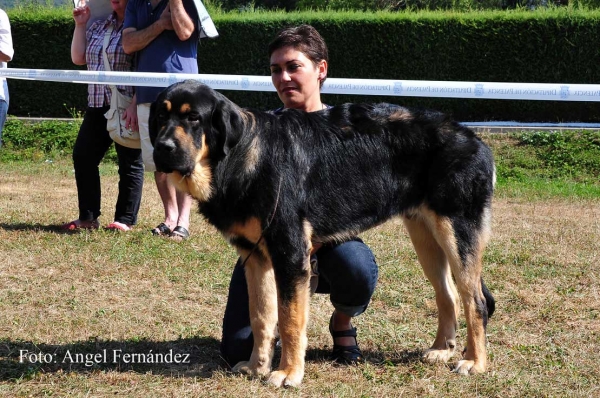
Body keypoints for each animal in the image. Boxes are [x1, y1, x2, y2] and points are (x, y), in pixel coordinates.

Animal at [150, 79, 496, 388]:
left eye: (194, 118)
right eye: (161, 117)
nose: (162, 148)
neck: (241, 156)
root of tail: (476, 140)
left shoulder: (289, 255)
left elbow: (289, 320)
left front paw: (288, 373)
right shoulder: (255, 257)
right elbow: (262, 317)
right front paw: (255, 367)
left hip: (456, 233)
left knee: (474, 300)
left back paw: (475, 362)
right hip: (425, 237)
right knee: (448, 294)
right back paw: (441, 350)